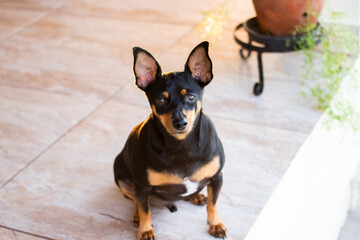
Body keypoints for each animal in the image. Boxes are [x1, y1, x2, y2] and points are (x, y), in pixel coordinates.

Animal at [114, 41, 226, 240]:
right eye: (160, 100)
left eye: (191, 97)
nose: (180, 123)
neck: (181, 144)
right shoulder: (141, 186)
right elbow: (145, 210)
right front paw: (145, 230)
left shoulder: (216, 177)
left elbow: (212, 204)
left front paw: (215, 224)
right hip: (120, 176)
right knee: (136, 201)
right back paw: (137, 216)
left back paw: (196, 196)